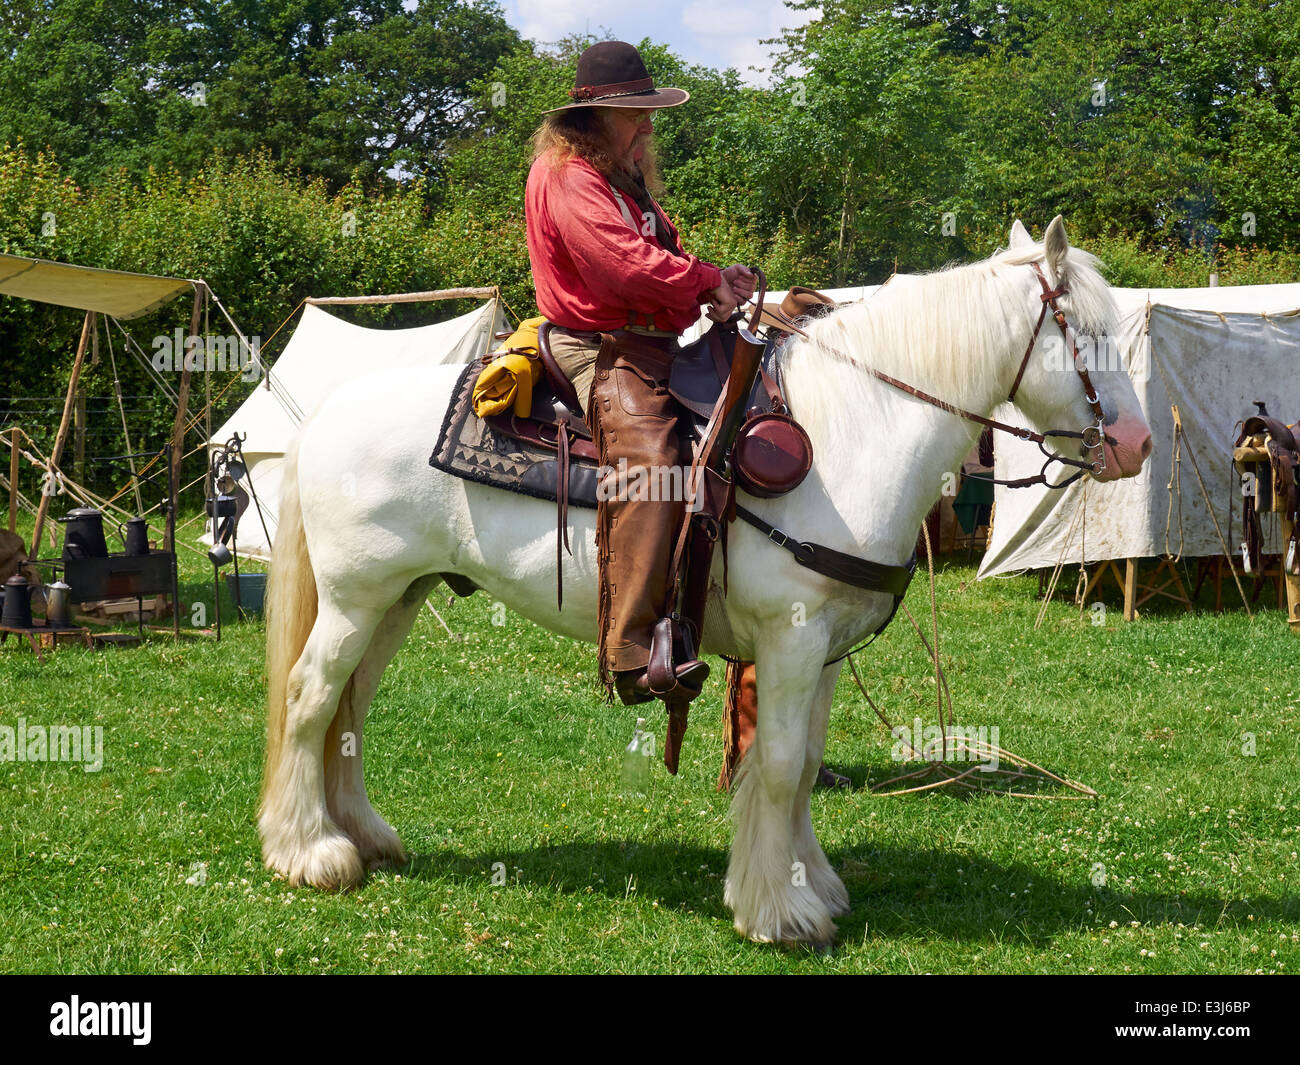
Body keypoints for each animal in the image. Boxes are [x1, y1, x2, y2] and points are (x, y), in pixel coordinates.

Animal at [258, 214, 1154, 941]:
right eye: (1086, 330)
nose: (1138, 444)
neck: (854, 428)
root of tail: (327, 411)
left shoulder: (824, 650)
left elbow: (801, 764)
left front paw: (811, 883)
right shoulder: (791, 639)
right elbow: (783, 765)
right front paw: (779, 912)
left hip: (399, 599)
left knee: (349, 707)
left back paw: (364, 835)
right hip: (356, 599)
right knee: (310, 694)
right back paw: (310, 852)